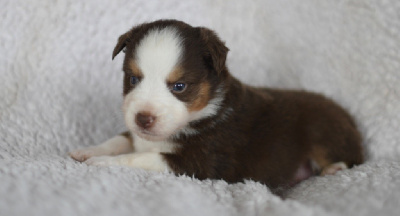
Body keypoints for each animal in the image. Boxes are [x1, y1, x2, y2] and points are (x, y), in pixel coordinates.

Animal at [70, 19, 364, 192]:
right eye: (133, 79)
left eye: (179, 86)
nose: (143, 118)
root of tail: (347, 116)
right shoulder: (138, 135)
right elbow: (120, 139)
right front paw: (88, 150)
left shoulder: (200, 162)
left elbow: (140, 157)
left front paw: (102, 162)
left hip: (323, 128)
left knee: (352, 157)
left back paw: (334, 168)